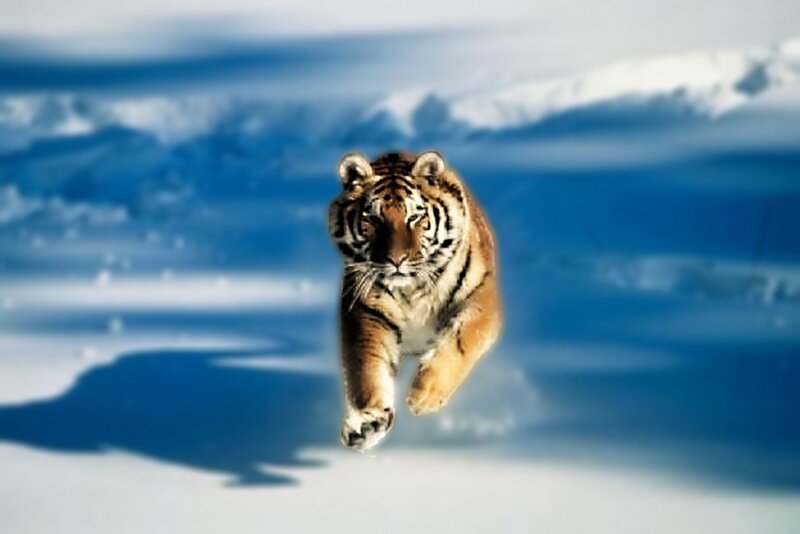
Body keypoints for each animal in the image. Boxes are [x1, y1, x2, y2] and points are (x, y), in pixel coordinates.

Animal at [328, 150, 502, 451]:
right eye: (372, 218)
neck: (411, 290)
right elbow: (366, 369)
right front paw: (367, 423)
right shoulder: (366, 312)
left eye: (414, 217)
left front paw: (424, 395)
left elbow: (461, 342)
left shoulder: (481, 299)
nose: (396, 260)